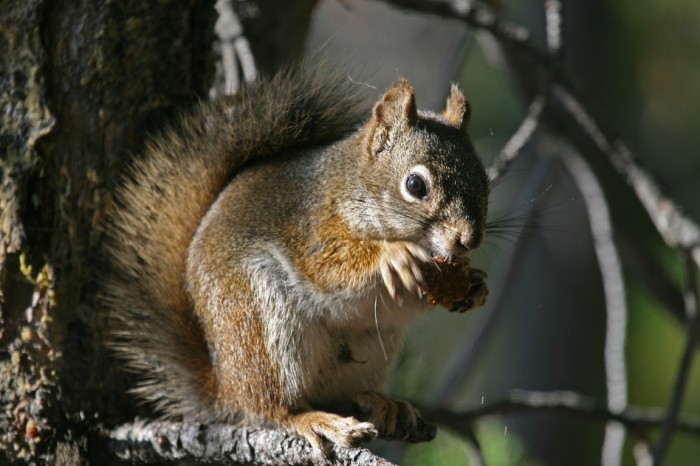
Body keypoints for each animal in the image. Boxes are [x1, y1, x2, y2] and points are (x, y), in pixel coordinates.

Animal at [101, 61, 490, 456]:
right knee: (272, 409)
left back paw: (380, 402)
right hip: (259, 326)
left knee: (339, 395)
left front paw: (476, 287)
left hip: (369, 351)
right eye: (415, 185)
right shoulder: (313, 228)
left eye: (485, 183)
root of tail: (226, 389)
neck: (355, 188)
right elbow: (330, 268)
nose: (468, 240)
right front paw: (394, 257)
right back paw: (313, 420)